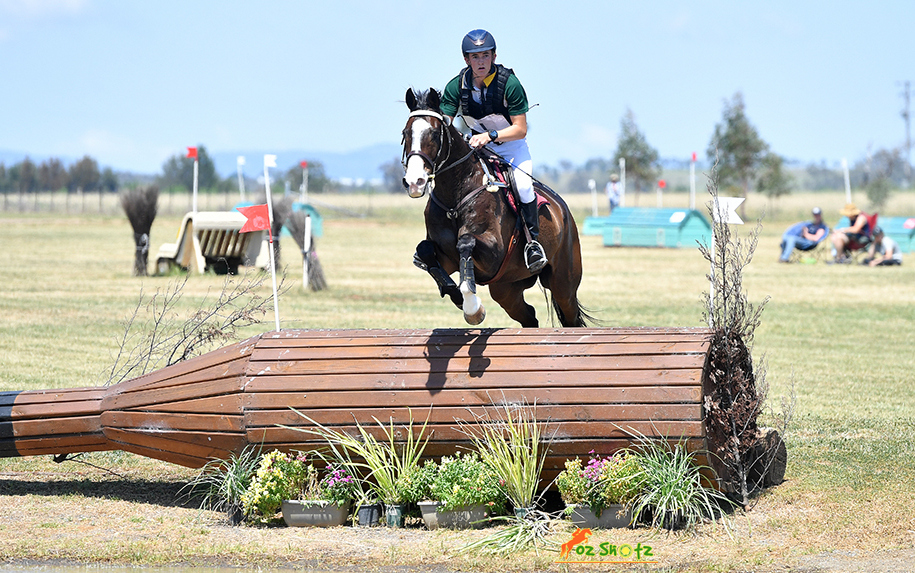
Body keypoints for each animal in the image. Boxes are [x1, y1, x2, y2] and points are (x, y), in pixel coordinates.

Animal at [402, 87, 591, 328]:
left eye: (435, 134)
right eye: (406, 133)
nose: (414, 181)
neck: (456, 194)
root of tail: (563, 210)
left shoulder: (493, 254)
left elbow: (466, 242)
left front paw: (472, 307)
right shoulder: (446, 256)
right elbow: (425, 250)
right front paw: (457, 296)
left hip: (563, 281)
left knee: (569, 315)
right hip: (506, 288)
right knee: (529, 316)